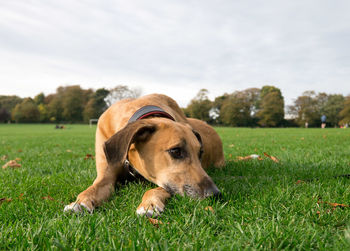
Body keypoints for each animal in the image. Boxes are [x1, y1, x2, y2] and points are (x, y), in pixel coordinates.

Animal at [64, 93, 226, 217]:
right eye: (176, 151)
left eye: (200, 153)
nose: (215, 194)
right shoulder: (106, 174)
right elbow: (94, 187)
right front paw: (80, 202)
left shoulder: (168, 181)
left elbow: (159, 188)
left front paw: (149, 204)